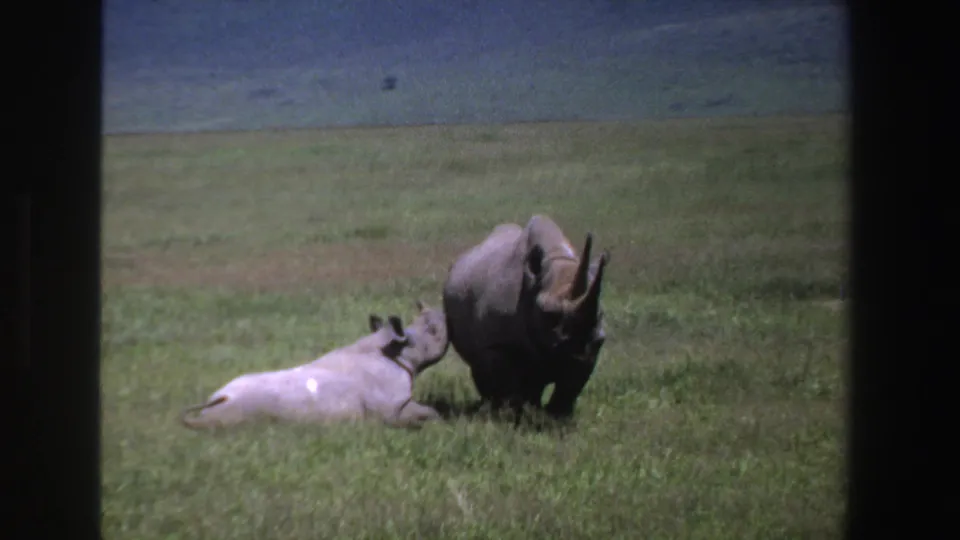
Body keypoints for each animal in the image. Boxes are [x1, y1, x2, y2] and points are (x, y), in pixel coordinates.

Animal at [179, 301, 450, 430]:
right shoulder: (391, 407)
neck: (397, 350)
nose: (446, 314)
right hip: (243, 410)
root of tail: (219, 399)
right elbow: (427, 412)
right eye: (434, 330)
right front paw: (427, 422)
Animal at [442, 215, 609, 423]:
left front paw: (558, 420)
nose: (579, 347)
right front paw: (512, 419)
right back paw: (492, 409)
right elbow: (508, 385)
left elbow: (570, 387)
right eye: (549, 314)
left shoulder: (591, 349)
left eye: (600, 315)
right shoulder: (498, 343)